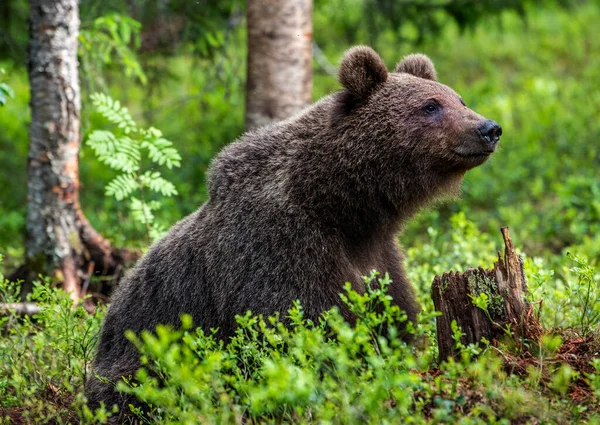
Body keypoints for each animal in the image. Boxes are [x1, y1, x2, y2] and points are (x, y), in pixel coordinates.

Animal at [85, 46, 502, 410]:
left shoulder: (379, 255)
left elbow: (392, 315)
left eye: (459, 99)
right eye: (430, 105)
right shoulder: (279, 249)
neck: (342, 208)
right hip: (137, 356)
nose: (490, 128)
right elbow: (299, 329)